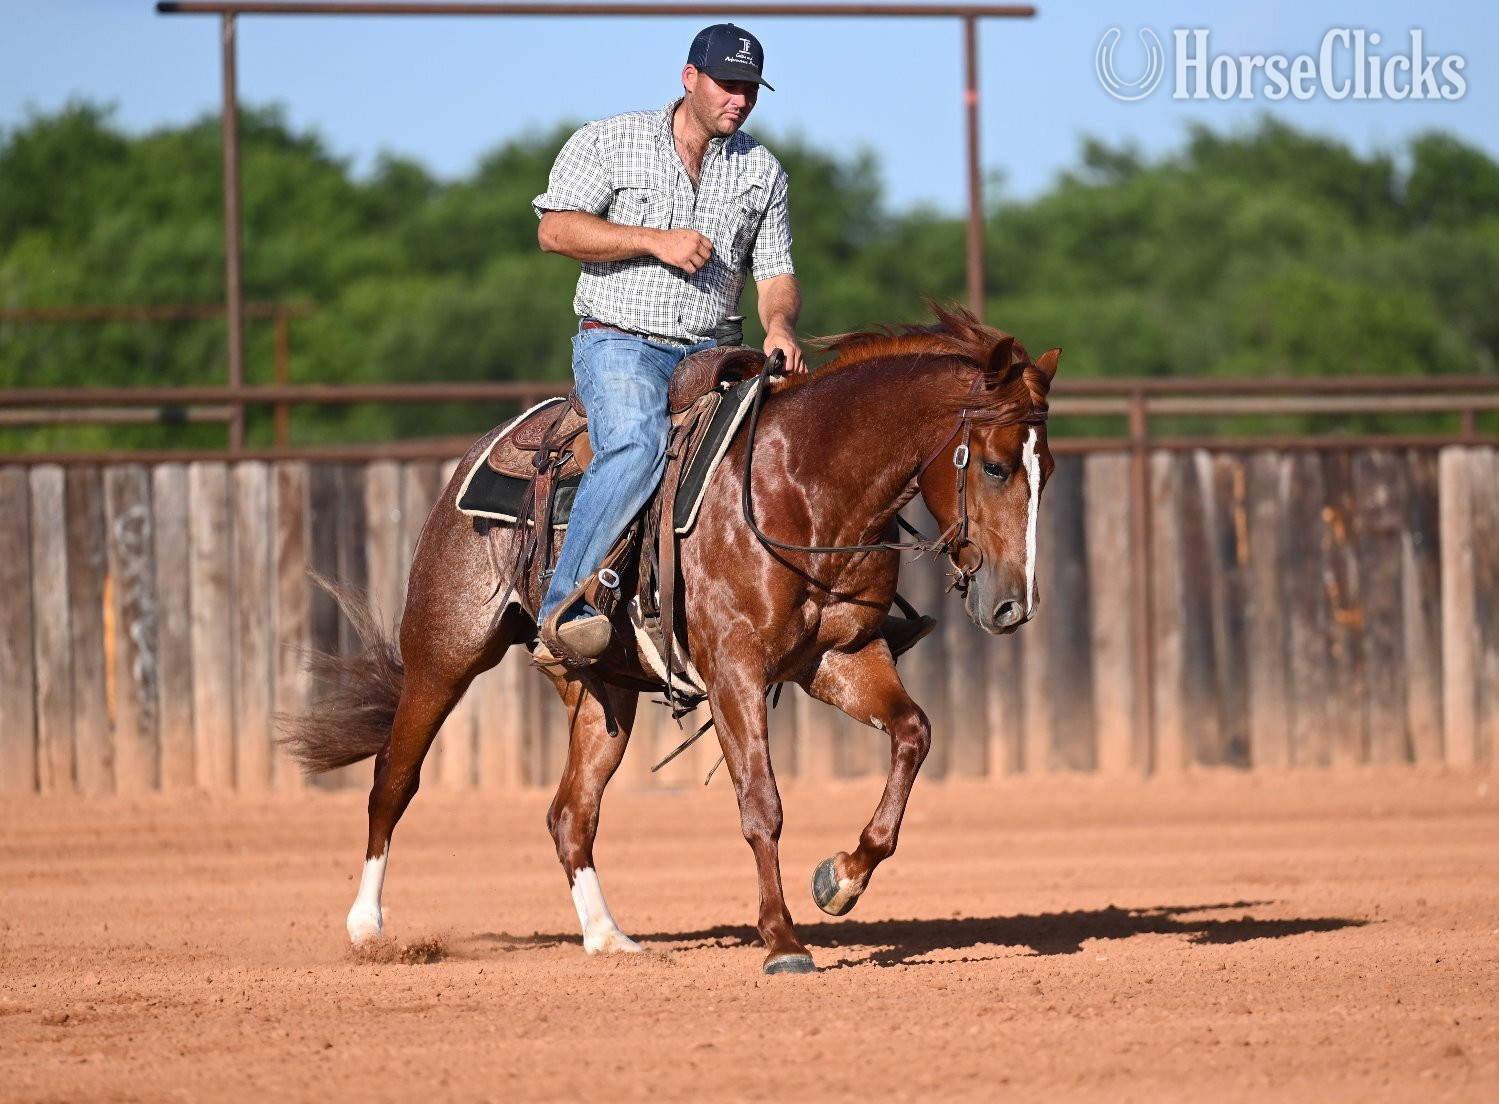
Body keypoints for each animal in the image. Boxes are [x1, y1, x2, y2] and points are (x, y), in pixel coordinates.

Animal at [282, 304, 1059, 974]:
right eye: (994, 465)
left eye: (1044, 469)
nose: (1012, 605)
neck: (803, 485)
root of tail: (489, 447)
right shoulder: (734, 671)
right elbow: (761, 802)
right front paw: (782, 940)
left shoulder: (840, 660)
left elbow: (913, 734)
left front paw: (840, 879)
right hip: (443, 654)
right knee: (394, 778)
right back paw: (367, 928)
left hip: (604, 693)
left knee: (571, 814)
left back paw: (608, 937)